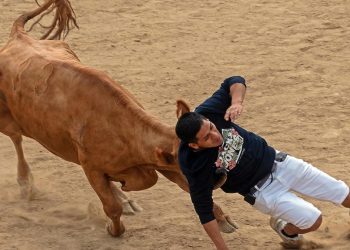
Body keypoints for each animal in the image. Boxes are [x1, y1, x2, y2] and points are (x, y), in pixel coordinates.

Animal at [0, 0, 237, 236]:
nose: (220, 177)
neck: (123, 128)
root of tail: (19, 36)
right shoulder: (92, 168)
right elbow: (111, 206)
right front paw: (114, 229)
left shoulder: (164, 165)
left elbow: (188, 188)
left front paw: (223, 220)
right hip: (7, 120)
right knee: (16, 137)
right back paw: (26, 183)